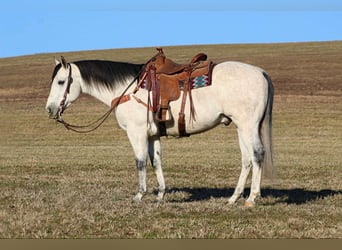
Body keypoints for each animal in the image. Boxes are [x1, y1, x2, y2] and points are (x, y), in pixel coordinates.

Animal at [46, 53, 276, 207]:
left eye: (61, 81)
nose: (49, 109)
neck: (128, 89)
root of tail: (262, 73)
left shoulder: (136, 132)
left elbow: (140, 162)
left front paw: (139, 195)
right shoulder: (152, 135)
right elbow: (156, 161)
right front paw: (160, 195)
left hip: (248, 125)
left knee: (257, 154)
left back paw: (252, 198)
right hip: (241, 127)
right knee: (247, 159)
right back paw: (233, 198)